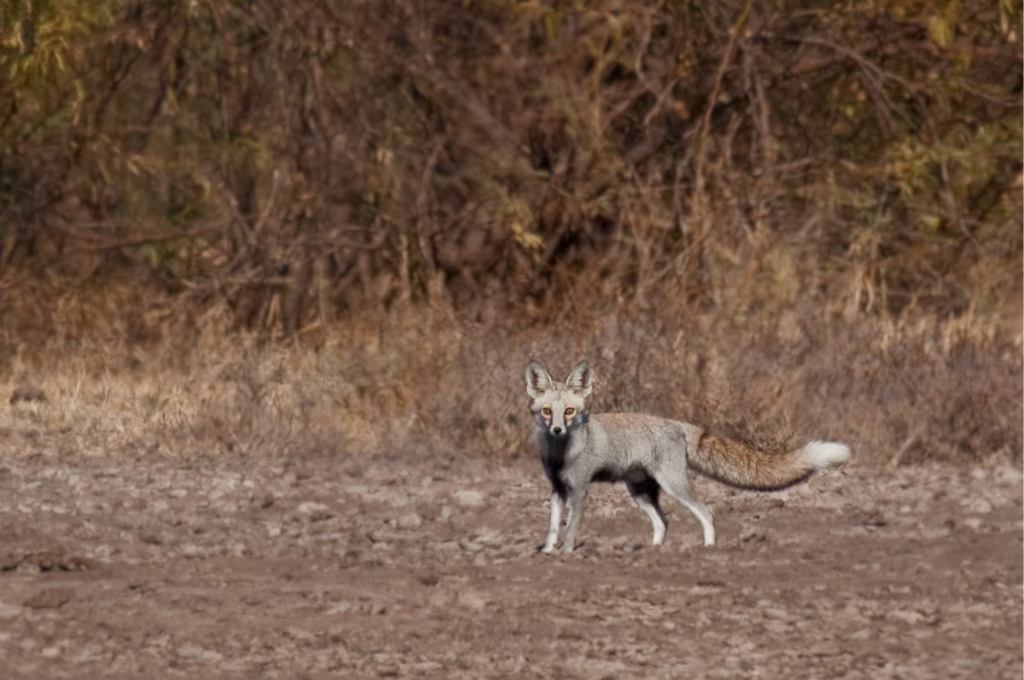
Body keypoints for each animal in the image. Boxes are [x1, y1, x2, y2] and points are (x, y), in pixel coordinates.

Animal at [524, 356, 851, 553]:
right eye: (547, 412)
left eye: (569, 411)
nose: (557, 430)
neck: (560, 455)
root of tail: (676, 423)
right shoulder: (557, 489)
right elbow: (552, 527)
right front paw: (547, 553)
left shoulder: (579, 489)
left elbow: (571, 528)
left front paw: (567, 554)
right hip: (640, 492)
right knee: (663, 522)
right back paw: (655, 552)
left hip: (673, 485)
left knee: (705, 512)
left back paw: (707, 549)